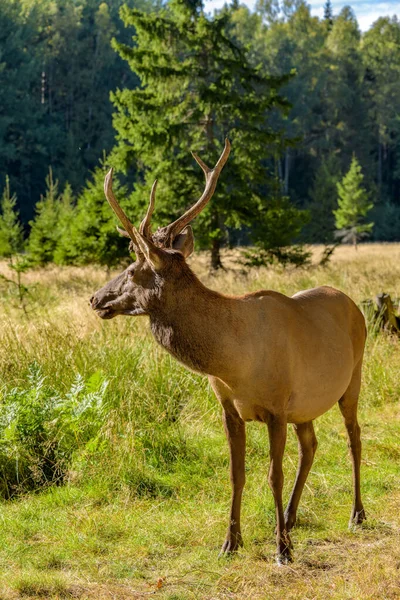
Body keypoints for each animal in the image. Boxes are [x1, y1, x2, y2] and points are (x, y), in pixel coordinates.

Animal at [90, 141, 366, 564]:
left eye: (134, 269)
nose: (95, 298)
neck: (232, 364)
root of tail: (354, 303)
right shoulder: (229, 408)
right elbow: (237, 474)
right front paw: (231, 542)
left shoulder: (277, 407)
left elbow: (273, 474)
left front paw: (281, 550)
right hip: (306, 404)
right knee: (311, 446)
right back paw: (290, 518)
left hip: (353, 378)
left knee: (354, 439)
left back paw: (355, 515)